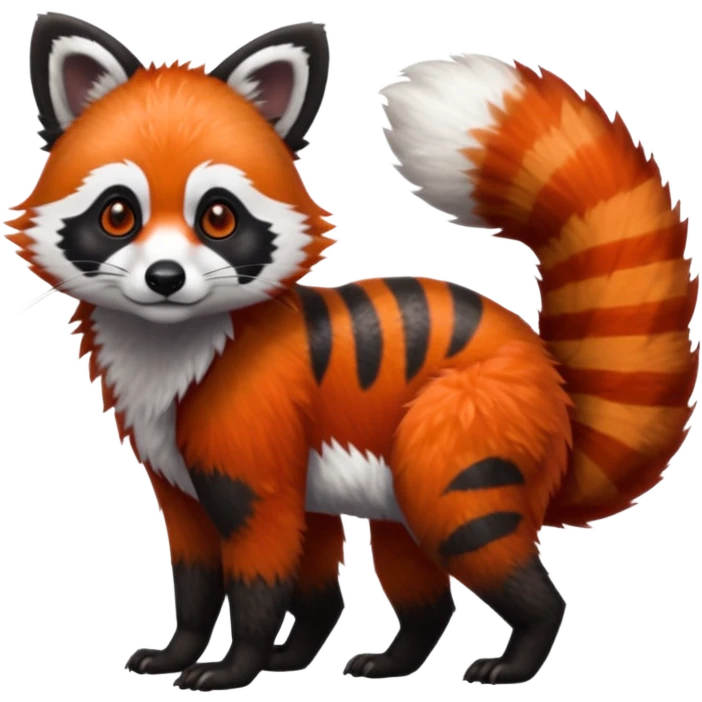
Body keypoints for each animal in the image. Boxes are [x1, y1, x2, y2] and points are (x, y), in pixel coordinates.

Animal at [6, 11, 698, 692]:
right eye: (118, 215)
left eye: (219, 218)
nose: (166, 278)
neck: (170, 343)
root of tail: (554, 383)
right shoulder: (189, 480)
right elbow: (208, 577)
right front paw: (207, 650)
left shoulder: (257, 453)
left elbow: (258, 571)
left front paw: (236, 664)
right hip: (399, 480)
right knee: (417, 586)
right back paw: (387, 658)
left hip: (459, 434)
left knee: (483, 541)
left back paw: (520, 655)